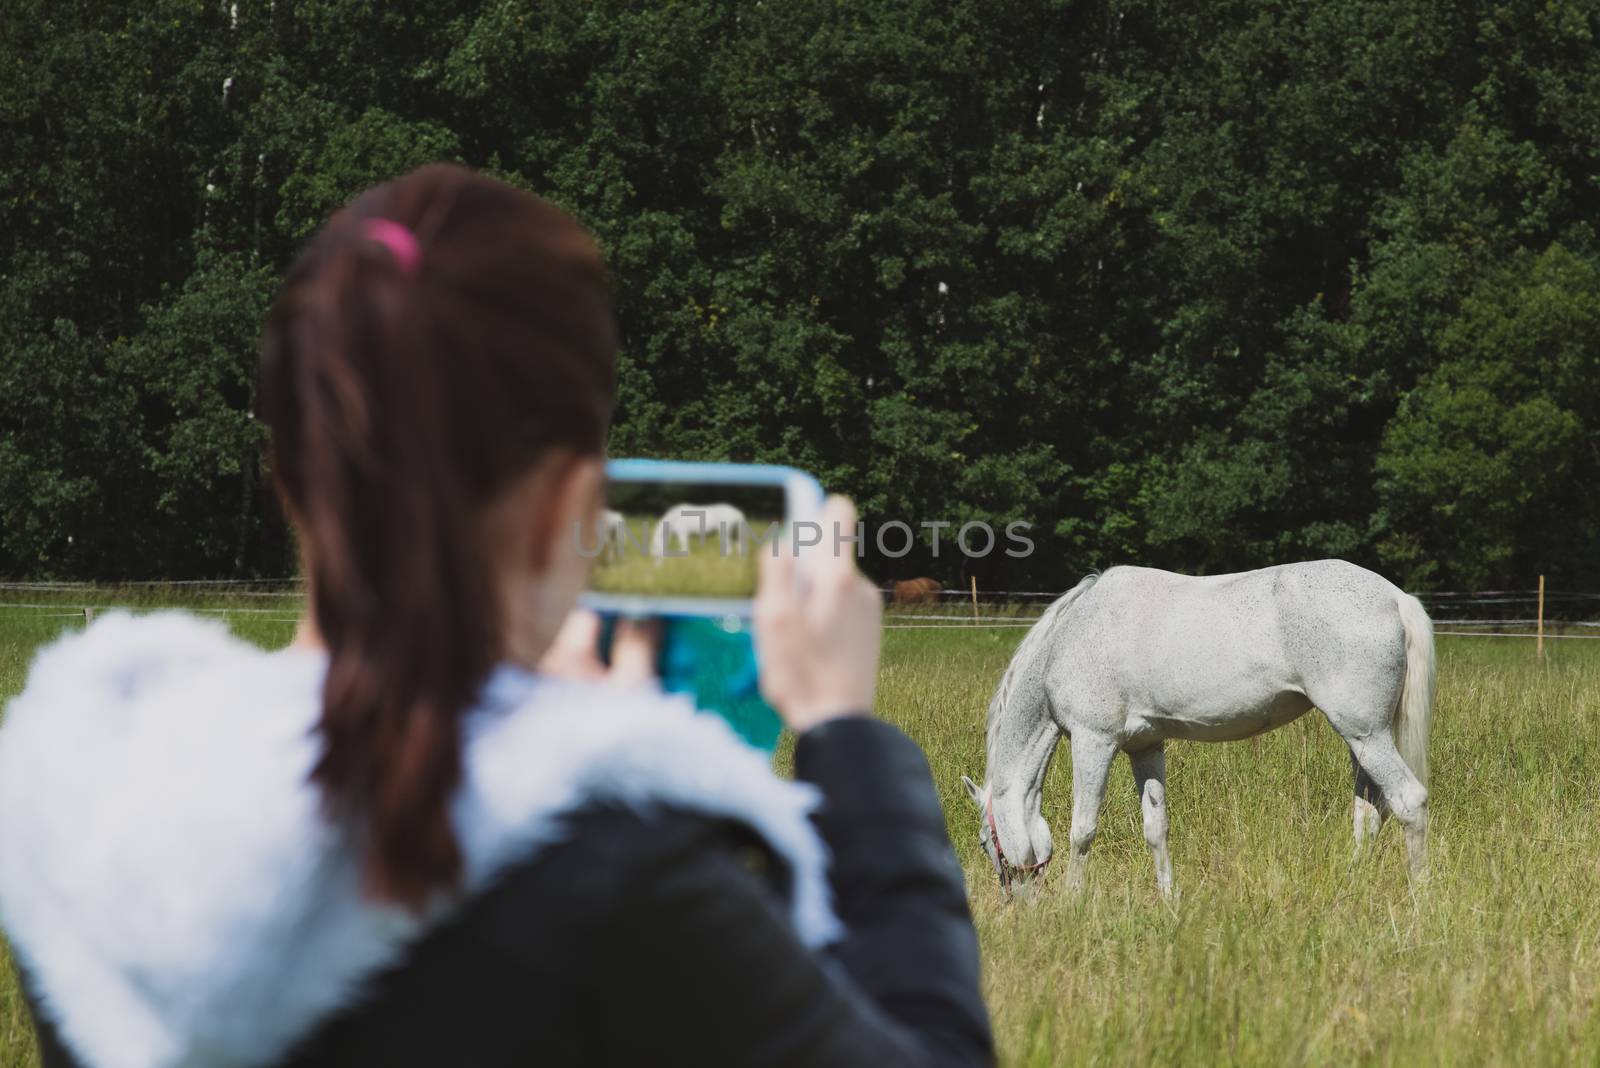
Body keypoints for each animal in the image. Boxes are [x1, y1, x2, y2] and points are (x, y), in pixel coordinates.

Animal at [960, 562, 1440, 895]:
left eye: (986, 842)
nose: (1019, 901)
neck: (1070, 640)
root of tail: (1395, 598)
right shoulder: (1146, 746)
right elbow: (1156, 827)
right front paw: (1168, 900)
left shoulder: (1093, 741)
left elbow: (1082, 830)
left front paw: (1072, 900)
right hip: (1362, 739)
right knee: (1369, 811)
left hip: (1366, 735)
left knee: (1408, 801)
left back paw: (1420, 896)